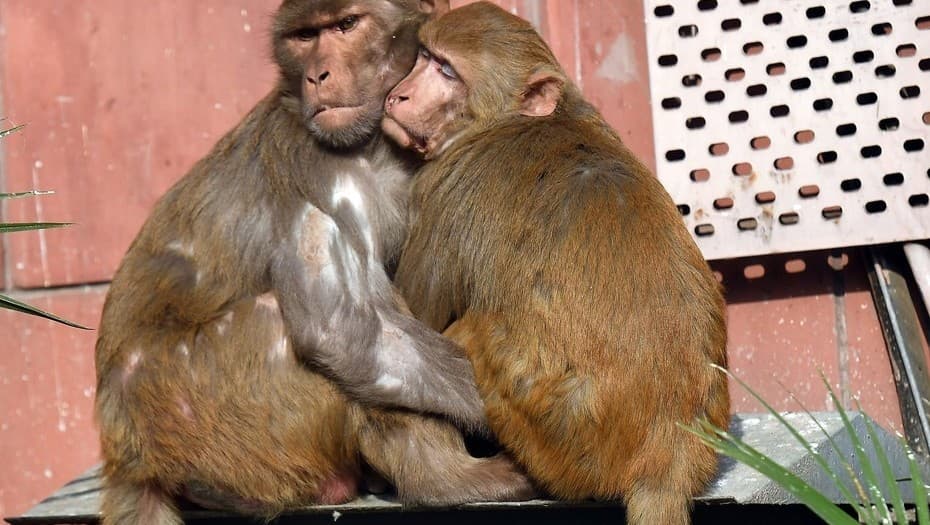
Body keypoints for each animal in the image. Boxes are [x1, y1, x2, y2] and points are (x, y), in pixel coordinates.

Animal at [94, 1, 534, 523]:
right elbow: (341, 328)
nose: (317, 75)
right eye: (305, 37)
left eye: (347, 25)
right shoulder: (314, 164)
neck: (373, 146)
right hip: (190, 405)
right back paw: (443, 479)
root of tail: (124, 448)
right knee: (294, 323)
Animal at [380, 3, 730, 524]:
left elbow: (415, 322)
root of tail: (668, 455)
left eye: (446, 71)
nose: (399, 94)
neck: (512, 121)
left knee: (474, 333)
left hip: (550, 427)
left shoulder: (442, 186)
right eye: (424, 56)